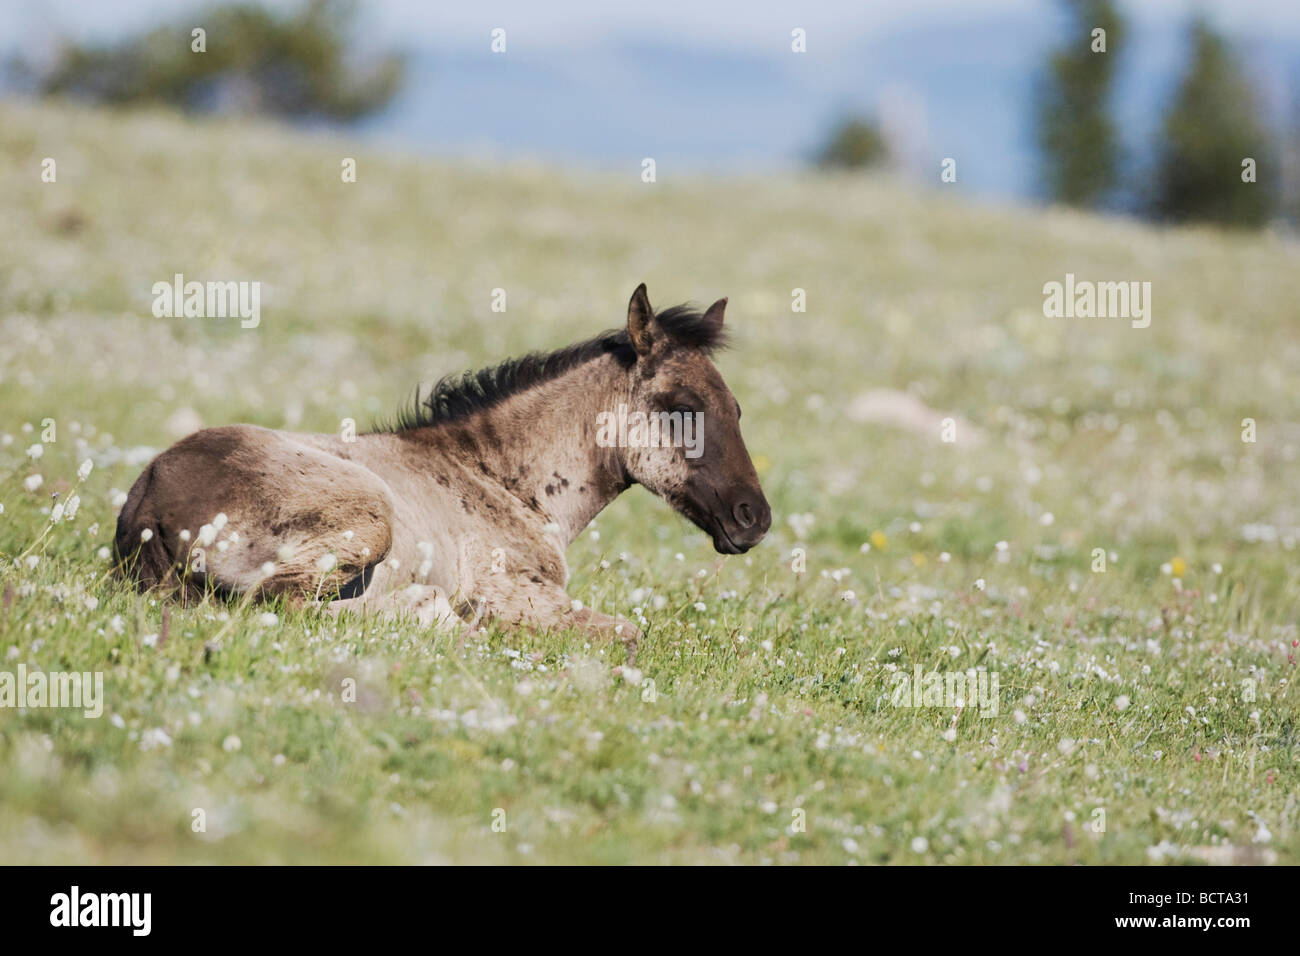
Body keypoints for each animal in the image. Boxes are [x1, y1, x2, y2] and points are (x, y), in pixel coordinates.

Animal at [111, 283, 769, 658]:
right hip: (367, 516)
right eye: (679, 407)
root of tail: (148, 503)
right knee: (277, 603)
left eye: (737, 409)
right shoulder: (518, 595)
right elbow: (629, 634)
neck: (500, 481)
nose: (754, 518)